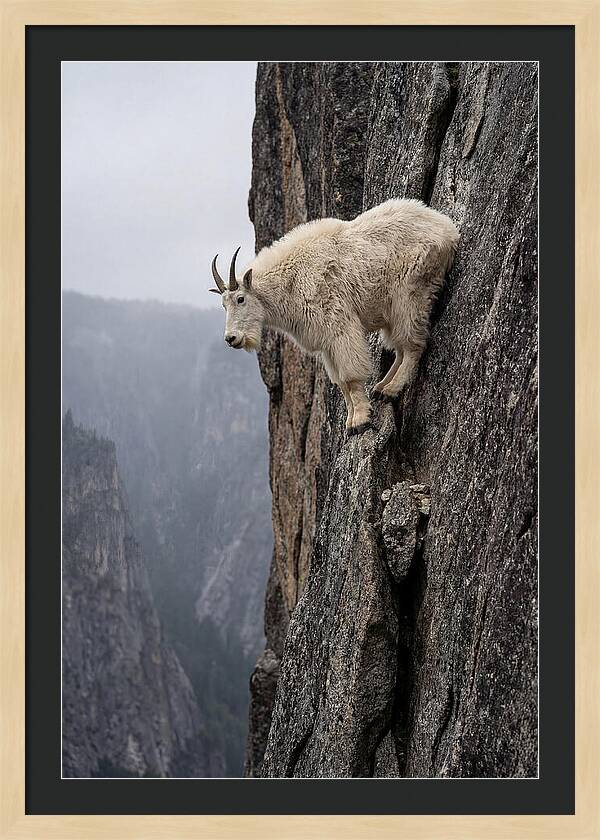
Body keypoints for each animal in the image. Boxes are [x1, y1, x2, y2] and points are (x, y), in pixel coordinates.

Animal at [209, 199, 459, 434]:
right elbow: (340, 382)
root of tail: (448, 228)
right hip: (391, 310)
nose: (231, 338)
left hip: (410, 294)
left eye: (240, 299)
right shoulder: (326, 343)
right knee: (399, 347)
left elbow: (350, 376)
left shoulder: (339, 326)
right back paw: (381, 387)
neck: (291, 281)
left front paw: (360, 421)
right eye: (223, 305)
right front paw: (350, 421)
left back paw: (391, 390)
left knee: (413, 344)